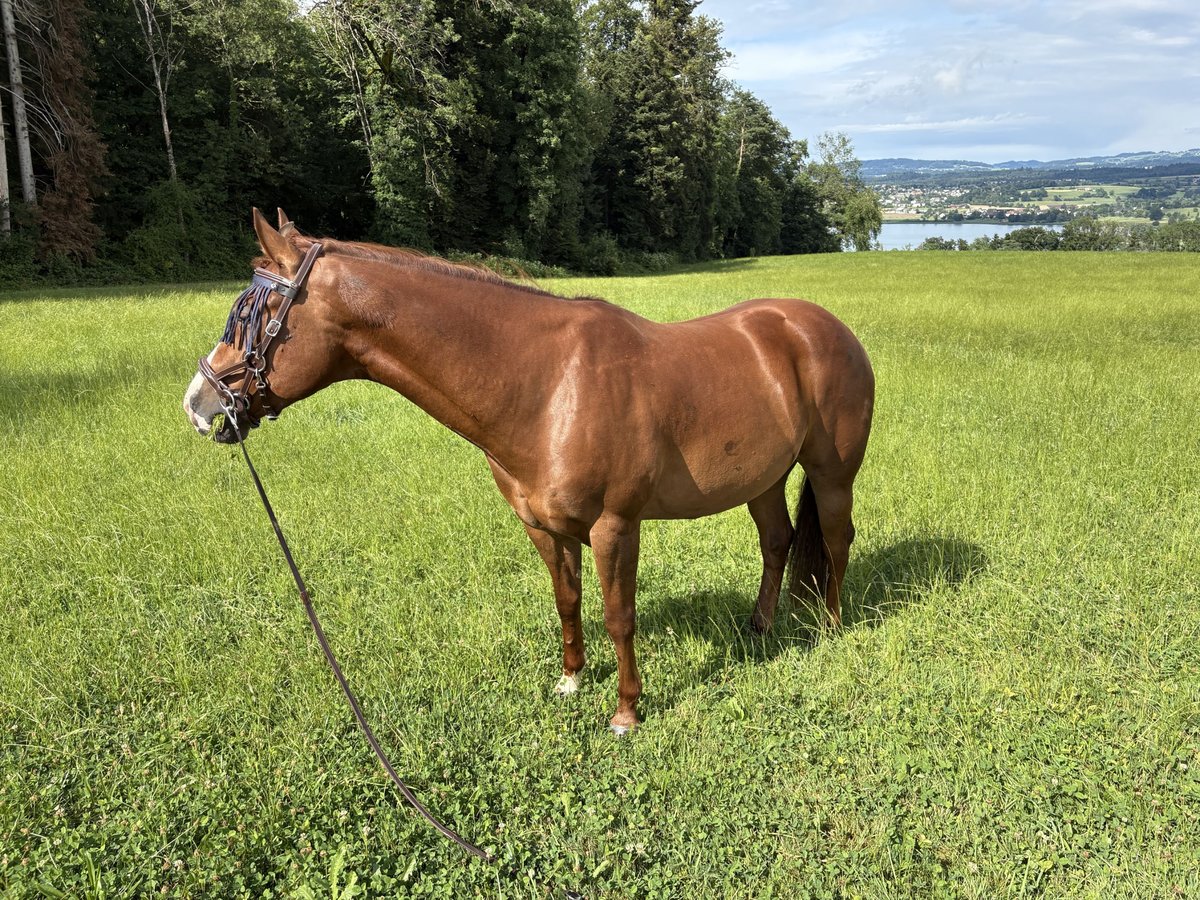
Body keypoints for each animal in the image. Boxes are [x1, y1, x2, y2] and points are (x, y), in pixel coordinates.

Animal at [184, 209, 875, 734]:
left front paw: (626, 712)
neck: (549, 385)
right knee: (777, 541)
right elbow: (568, 600)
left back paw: (831, 626)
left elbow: (618, 614)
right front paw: (571, 680)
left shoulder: (615, 527)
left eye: (252, 315)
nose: (199, 402)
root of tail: (822, 326)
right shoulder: (543, 526)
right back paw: (760, 627)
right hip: (763, 479)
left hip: (832, 474)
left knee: (837, 540)